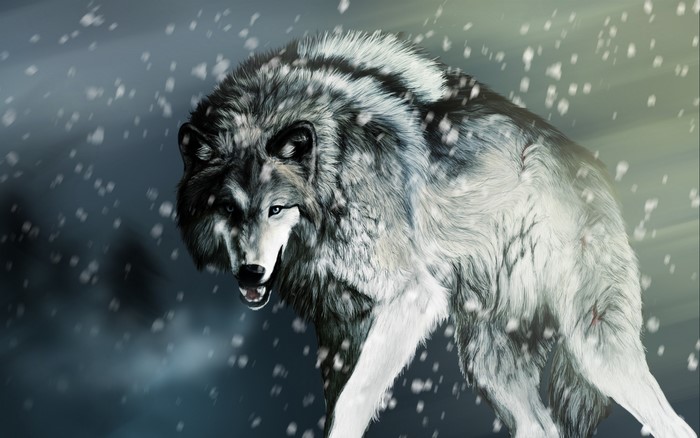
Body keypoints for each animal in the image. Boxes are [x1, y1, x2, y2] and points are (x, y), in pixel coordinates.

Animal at [175, 31, 696, 437]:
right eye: (228, 208)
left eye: (277, 208)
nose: (250, 272)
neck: (334, 171)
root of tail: (595, 170)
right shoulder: (338, 330)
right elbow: (336, 406)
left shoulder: (411, 298)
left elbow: (353, 402)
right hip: (489, 363)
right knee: (539, 425)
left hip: (594, 349)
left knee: (673, 422)